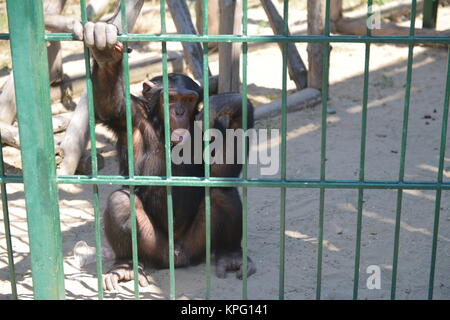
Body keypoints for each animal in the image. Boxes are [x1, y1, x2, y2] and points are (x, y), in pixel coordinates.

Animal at [82, 20, 255, 290]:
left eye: (188, 99)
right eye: (171, 98)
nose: (180, 112)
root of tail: (177, 256)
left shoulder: (213, 126)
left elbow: (221, 170)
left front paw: (232, 102)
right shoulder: (131, 115)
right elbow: (111, 104)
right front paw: (105, 52)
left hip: (199, 245)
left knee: (221, 191)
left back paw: (231, 256)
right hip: (153, 247)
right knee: (120, 202)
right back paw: (125, 266)